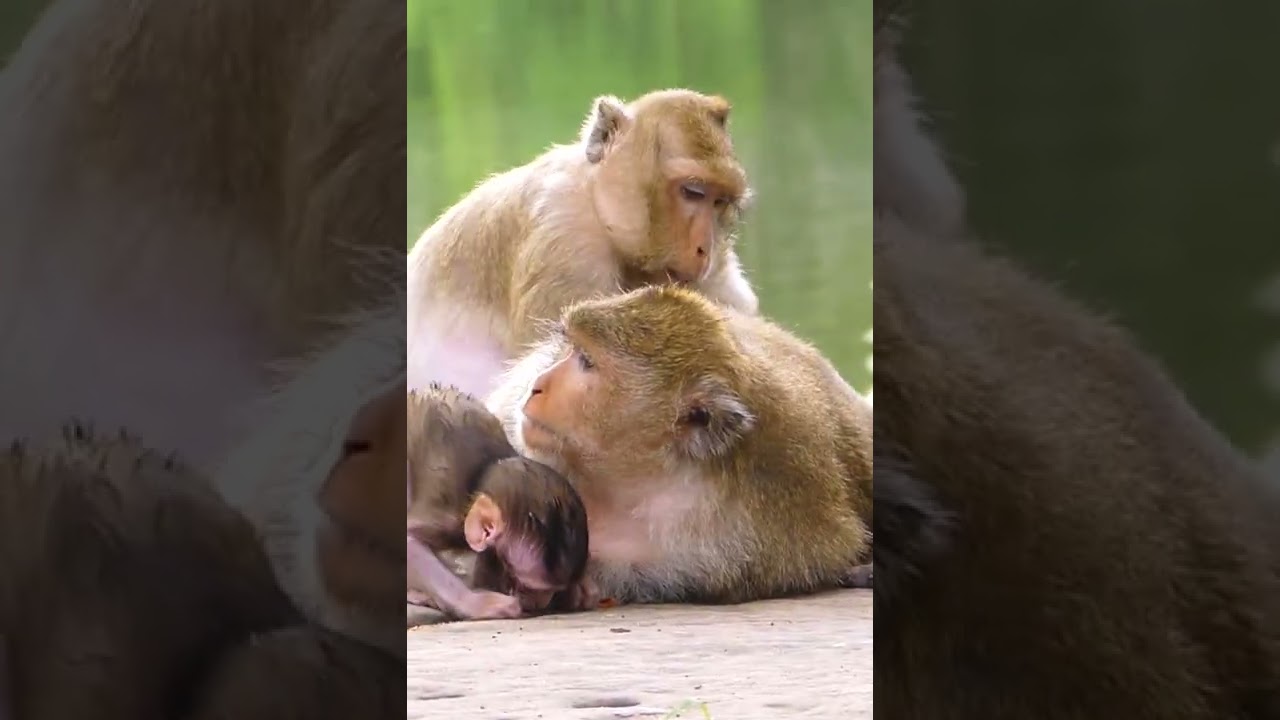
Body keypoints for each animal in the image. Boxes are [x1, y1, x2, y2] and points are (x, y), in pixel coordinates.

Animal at [406, 384, 591, 620]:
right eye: (522, 586)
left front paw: (580, 590)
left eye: (552, 591)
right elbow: (410, 543)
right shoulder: (446, 519)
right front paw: (477, 602)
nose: (539, 603)